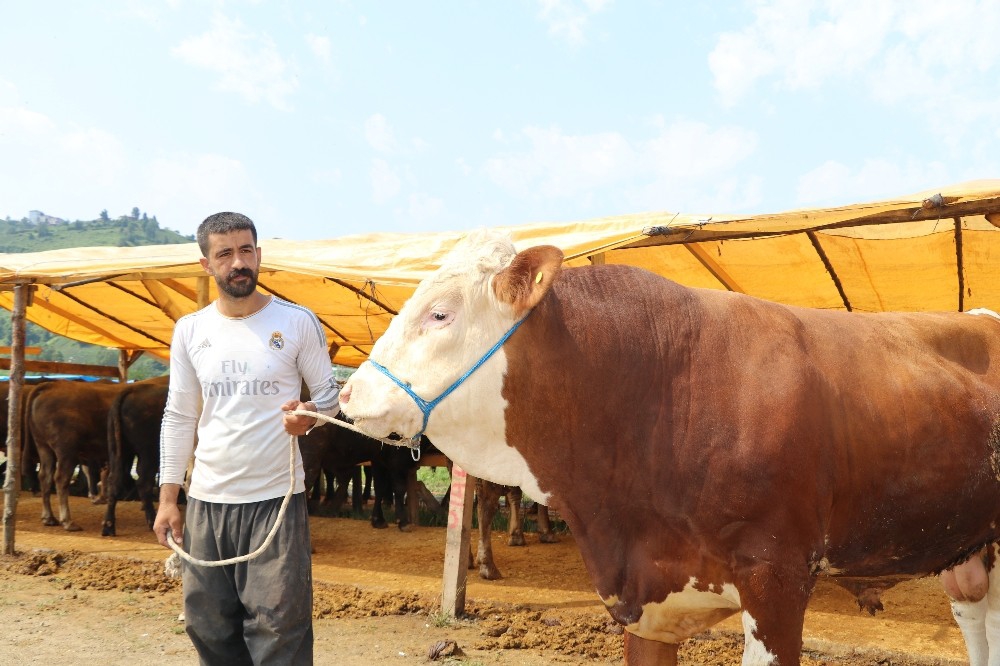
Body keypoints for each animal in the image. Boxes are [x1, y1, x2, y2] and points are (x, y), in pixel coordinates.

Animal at [342, 230, 1000, 664]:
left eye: (440, 314)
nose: (349, 392)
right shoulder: (646, 602)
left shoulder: (777, 578)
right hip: (968, 545)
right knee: (978, 614)